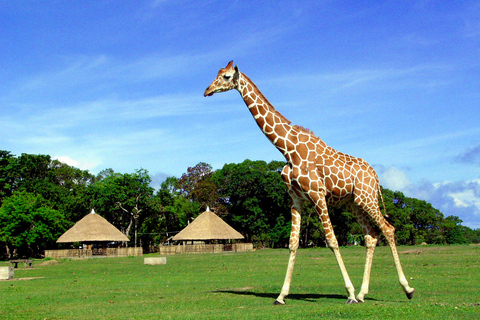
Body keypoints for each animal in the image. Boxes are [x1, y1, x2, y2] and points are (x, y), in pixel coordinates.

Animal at [204, 61, 414, 304]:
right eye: (217, 73)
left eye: (226, 77)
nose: (207, 90)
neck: (287, 149)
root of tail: (376, 176)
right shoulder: (295, 199)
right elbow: (293, 243)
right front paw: (281, 295)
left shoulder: (317, 195)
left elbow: (332, 240)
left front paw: (349, 293)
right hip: (354, 203)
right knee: (371, 236)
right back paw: (363, 293)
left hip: (366, 197)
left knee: (388, 229)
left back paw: (406, 289)